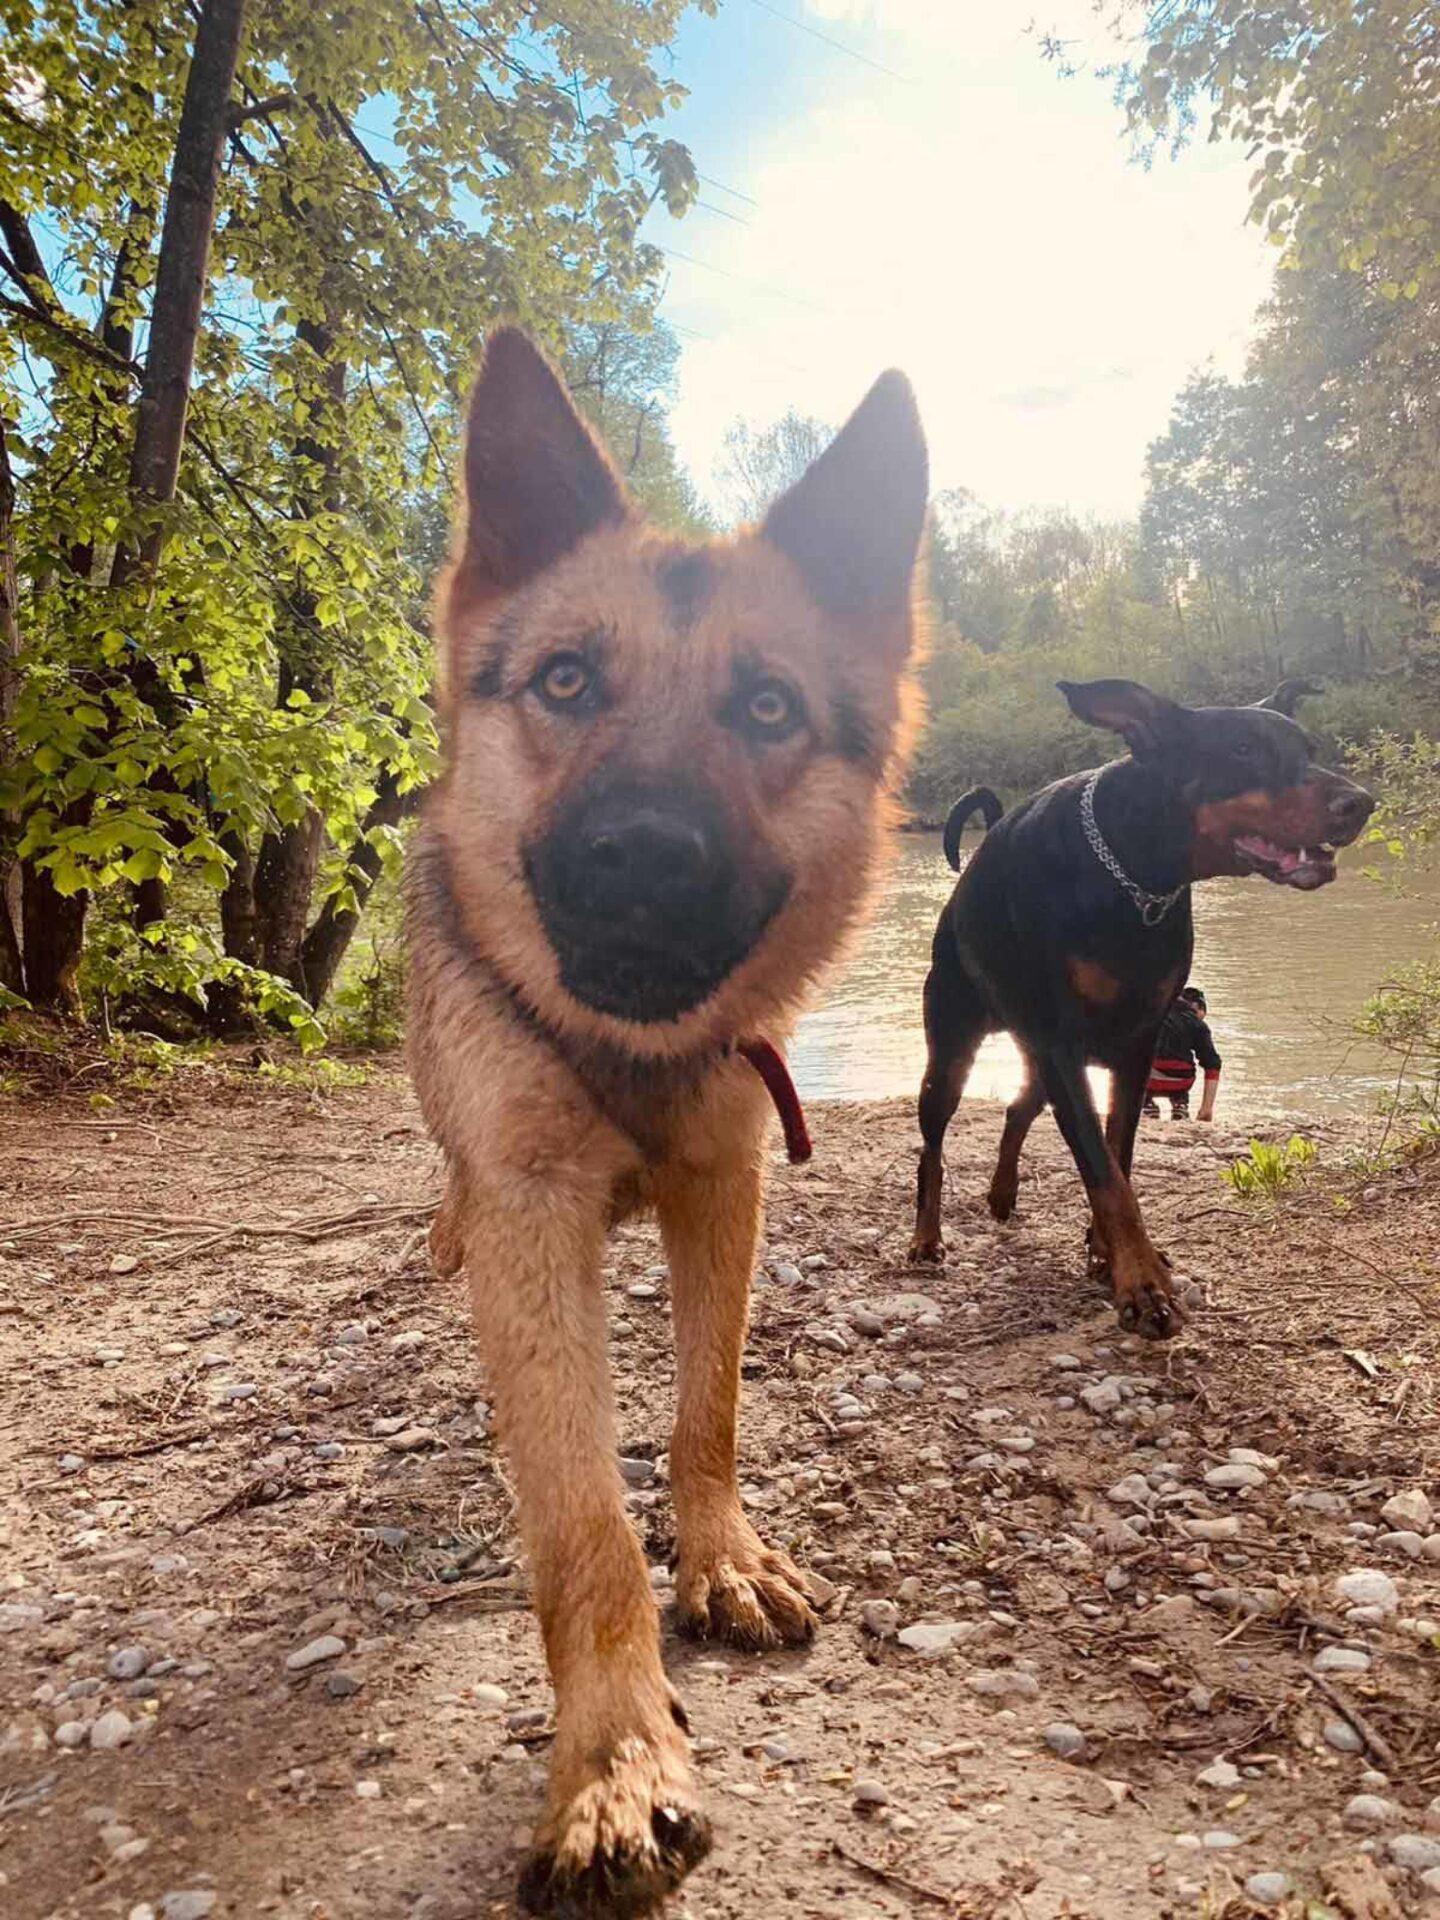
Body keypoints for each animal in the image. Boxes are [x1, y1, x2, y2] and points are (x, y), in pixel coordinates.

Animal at [408, 334, 925, 1920]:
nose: (640, 856)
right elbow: (581, 1527)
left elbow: (709, 1408)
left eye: (767, 709)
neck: (628, 1060)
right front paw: (615, 1766)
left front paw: (720, 1557)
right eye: (566, 680)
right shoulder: (533, 1222)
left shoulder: (724, 1185)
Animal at [913, 687, 1374, 1336]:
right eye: (1243, 749)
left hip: (1036, 1052)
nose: (1360, 803)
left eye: (1309, 747)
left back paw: (1003, 1195)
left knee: (1017, 1107)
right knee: (932, 1147)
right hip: (953, 1050)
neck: (1133, 875)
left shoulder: (1134, 1044)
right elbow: (1104, 1173)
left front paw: (1108, 1254)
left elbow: (1119, 1156)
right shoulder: (1064, 1045)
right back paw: (926, 1238)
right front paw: (1142, 1286)